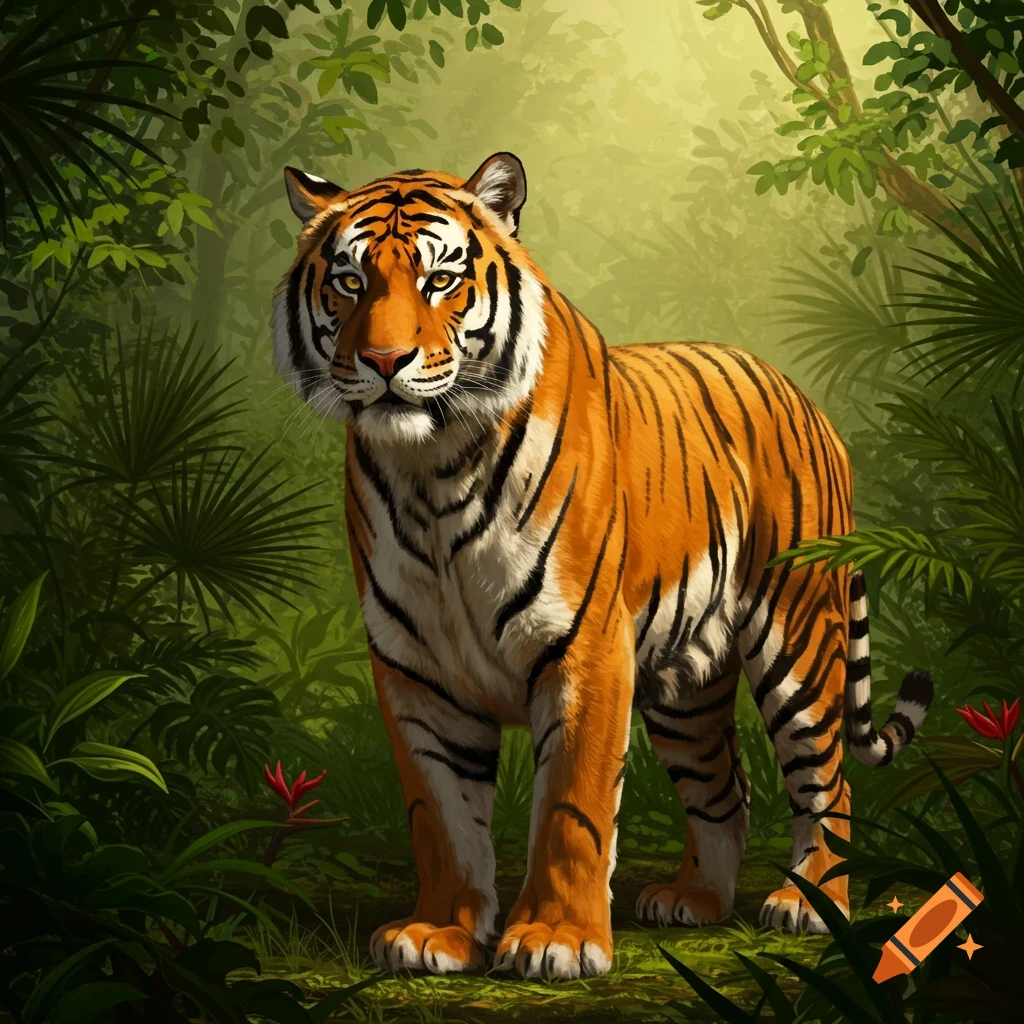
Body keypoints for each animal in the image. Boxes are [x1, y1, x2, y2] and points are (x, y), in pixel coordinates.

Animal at [272, 152, 934, 981]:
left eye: (440, 279)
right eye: (350, 281)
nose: (384, 361)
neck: (433, 469)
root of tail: (803, 396)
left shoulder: (583, 649)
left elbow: (571, 805)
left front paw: (554, 940)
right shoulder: (416, 672)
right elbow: (440, 815)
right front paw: (438, 934)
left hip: (799, 635)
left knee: (826, 779)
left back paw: (810, 903)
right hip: (686, 687)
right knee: (727, 790)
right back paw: (694, 900)